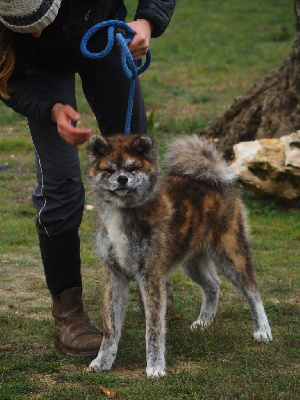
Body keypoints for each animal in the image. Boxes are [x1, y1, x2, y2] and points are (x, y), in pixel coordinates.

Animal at [86, 134, 272, 378]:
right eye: (109, 169)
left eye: (133, 167)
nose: (122, 179)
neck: (124, 211)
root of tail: (217, 179)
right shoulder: (113, 274)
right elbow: (110, 326)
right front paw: (103, 360)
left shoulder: (151, 275)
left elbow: (154, 328)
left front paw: (155, 366)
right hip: (193, 261)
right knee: (213, 285)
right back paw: (204, 322)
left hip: (231, 253)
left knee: (253, 292)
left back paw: (262, 331)